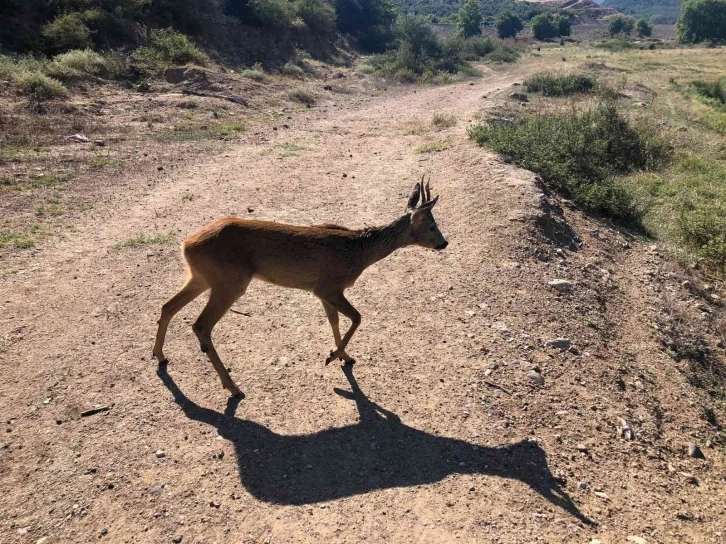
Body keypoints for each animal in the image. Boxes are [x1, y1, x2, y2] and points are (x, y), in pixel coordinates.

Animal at [154, 176, 450, 398]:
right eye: (432, 225)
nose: (444, 243)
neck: (360, 251)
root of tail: (186, 245)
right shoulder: (329, 286)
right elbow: (356, 317)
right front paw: (333, 356)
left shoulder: (321, 291)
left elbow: (334, 321)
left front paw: (344, 356)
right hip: (230, 282)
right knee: (201, 325)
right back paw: (233, 387)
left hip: (201, 277)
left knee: (167, 306)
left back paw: (160, 356)